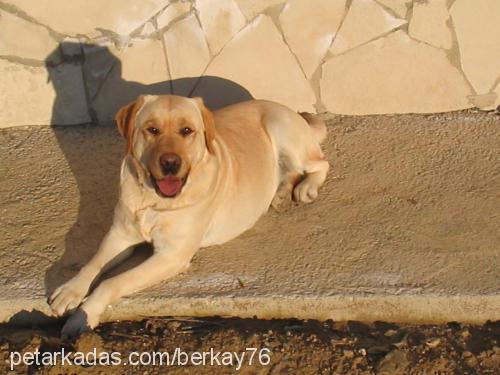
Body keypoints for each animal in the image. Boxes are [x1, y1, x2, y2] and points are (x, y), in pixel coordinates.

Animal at [47, 94, 328, 338]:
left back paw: (305, 187)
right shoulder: (120, 235)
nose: (170, 162)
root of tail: (291, 112)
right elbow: (93, 264)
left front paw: (82, 315)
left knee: (320, 163)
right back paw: (280, 192)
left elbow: (112, 282)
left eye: (186, 131)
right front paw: (70, 291)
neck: (154, 201)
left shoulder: (172, 255)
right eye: (152, 129)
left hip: (282, 131)